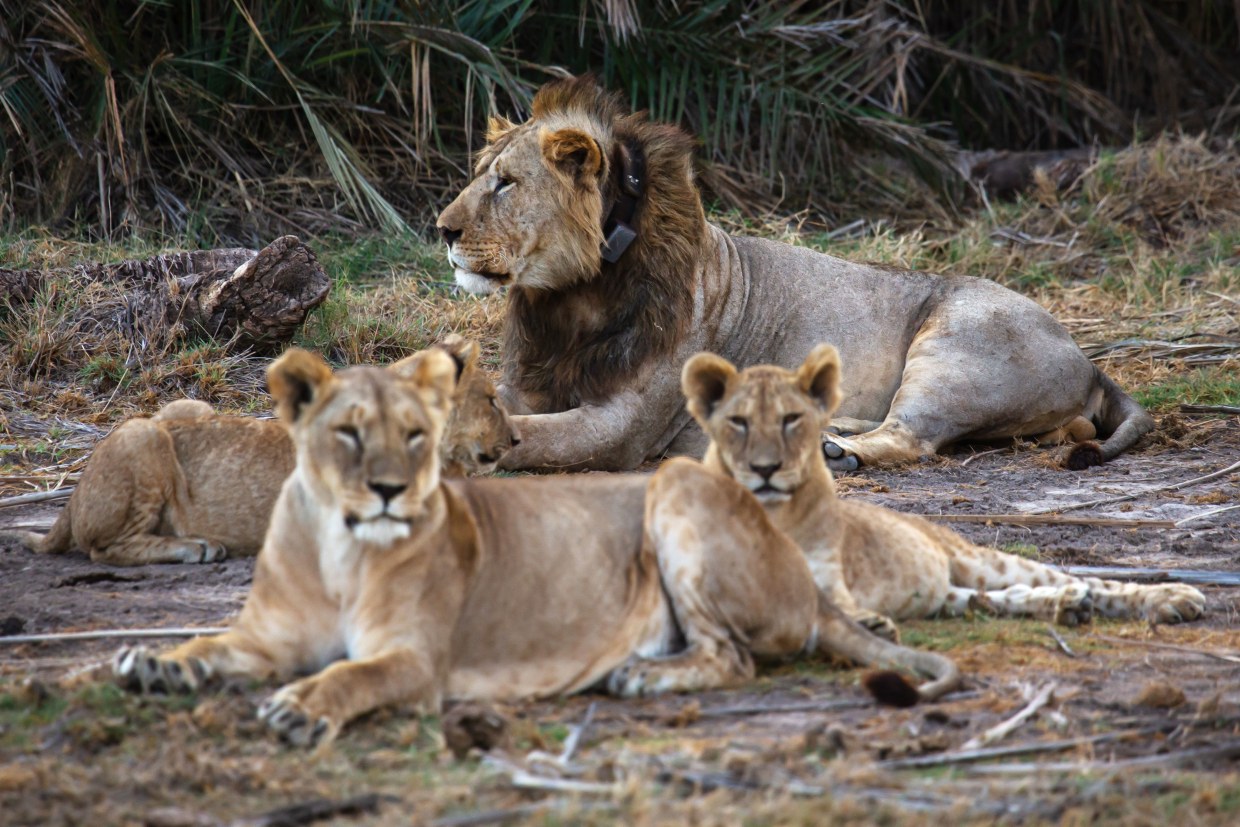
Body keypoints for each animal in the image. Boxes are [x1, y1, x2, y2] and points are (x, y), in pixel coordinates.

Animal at [4, 337, 518, 570]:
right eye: (493, 399)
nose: (515, 441)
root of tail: (71, 498)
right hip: (141, 436)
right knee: (105, 549)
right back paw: (197, 547)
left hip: (183, 407)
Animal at [111, 347, 957, 748]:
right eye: (348, 432)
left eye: (415, 433)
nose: (388, 489)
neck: (337, 548)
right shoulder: (265, 635)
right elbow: (207, 644)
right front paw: (156, 660)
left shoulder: (417, 660)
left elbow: (351, 675)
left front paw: (303, 707)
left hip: (678, 487)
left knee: (734, 656)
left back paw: (641, 675)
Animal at [436, 74, 1150, 476]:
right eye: (478, 176)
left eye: (505, 183)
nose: (443, 230)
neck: (571, 298)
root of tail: (1088, 359)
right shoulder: (532, 379)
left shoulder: (624, 427)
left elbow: (534, 436)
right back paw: (825, 428)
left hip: (954, 350)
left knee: (916, 435)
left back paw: (838, 451)